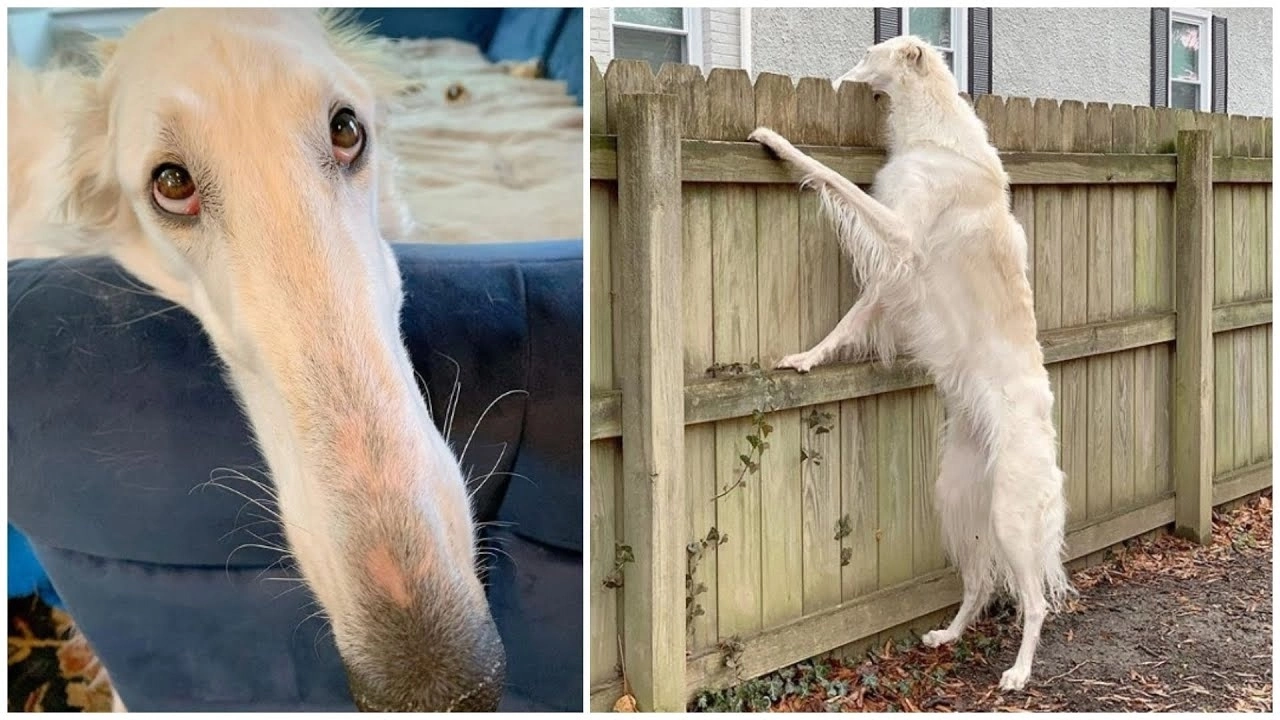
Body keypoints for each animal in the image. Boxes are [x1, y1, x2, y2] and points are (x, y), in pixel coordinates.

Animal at [747, 35, 1075, 691]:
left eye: (869, 52)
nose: (839, 77)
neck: (934, 135)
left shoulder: (899, 232)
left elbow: (829, 176)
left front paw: (776, 139)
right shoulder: (895, 271)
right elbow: (847, 323)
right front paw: (805, 359)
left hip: (1011, 515)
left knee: (1033, 601)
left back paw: (1019, 672)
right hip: (955, 498)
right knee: (978, 583)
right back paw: (946, 635)